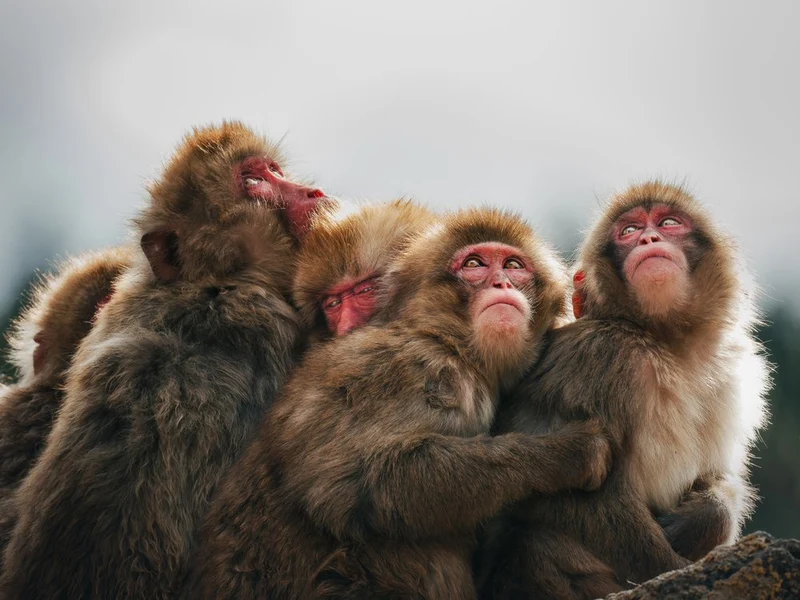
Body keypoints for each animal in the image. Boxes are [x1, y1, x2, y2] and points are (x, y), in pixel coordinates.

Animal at [479, 181, 770, 600]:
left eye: (668, 222)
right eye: (629, 231)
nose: (649, 238)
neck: (667, 343)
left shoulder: (735, 376)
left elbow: (719, 475)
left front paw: (706, 517)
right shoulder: (600, 356)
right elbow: (561, 489)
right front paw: (667, 570)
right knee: (533, 542)